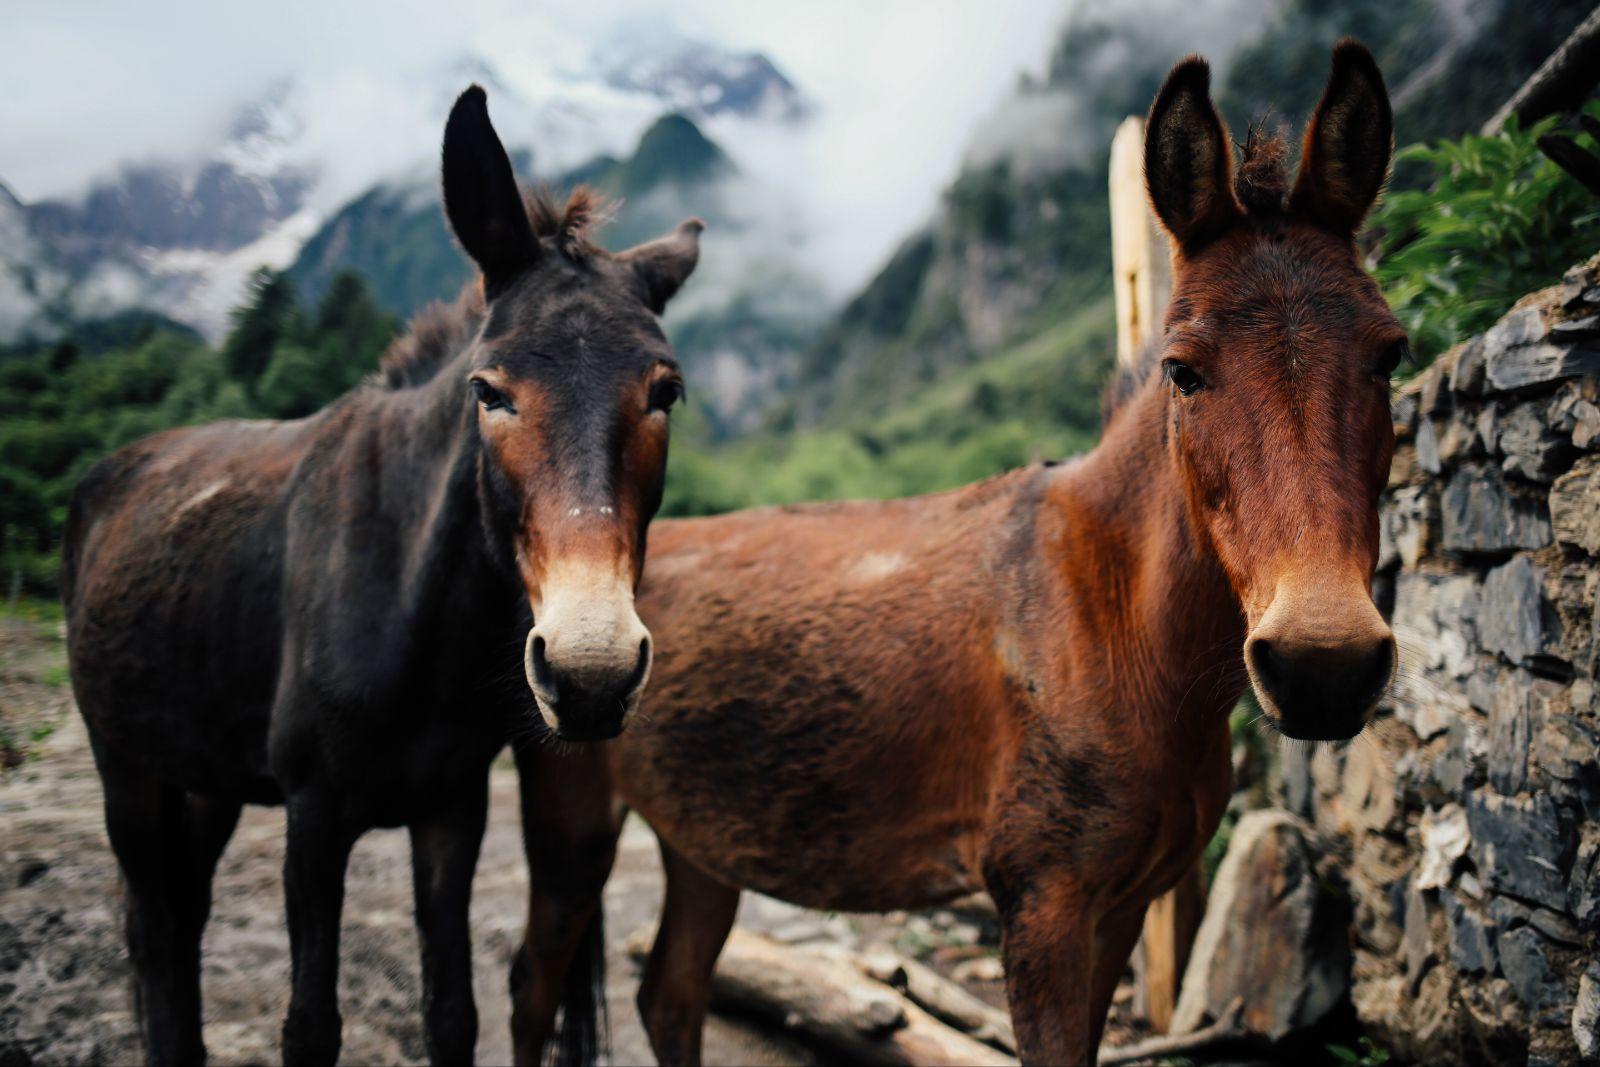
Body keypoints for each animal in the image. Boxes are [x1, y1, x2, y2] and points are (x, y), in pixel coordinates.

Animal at [62, 85, 701, 1067]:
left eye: (664, 393)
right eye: (488, 392)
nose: (591, 673)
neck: (412, 604)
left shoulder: (452, 806)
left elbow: (453, 1011)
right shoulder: (313, 814)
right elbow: (309, 1025)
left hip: (202, 769)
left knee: (183, 913)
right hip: (123, 760)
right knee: (153, 924)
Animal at [508, 40, 1402, 1066]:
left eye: (1390, 354)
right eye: (1183, 370)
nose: (1324, 665)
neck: (1114, 615)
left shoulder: (1121, 910)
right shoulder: (1043, 908)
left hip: (705, 837)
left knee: (671, 992)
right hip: (571, 822)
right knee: (535, 988)